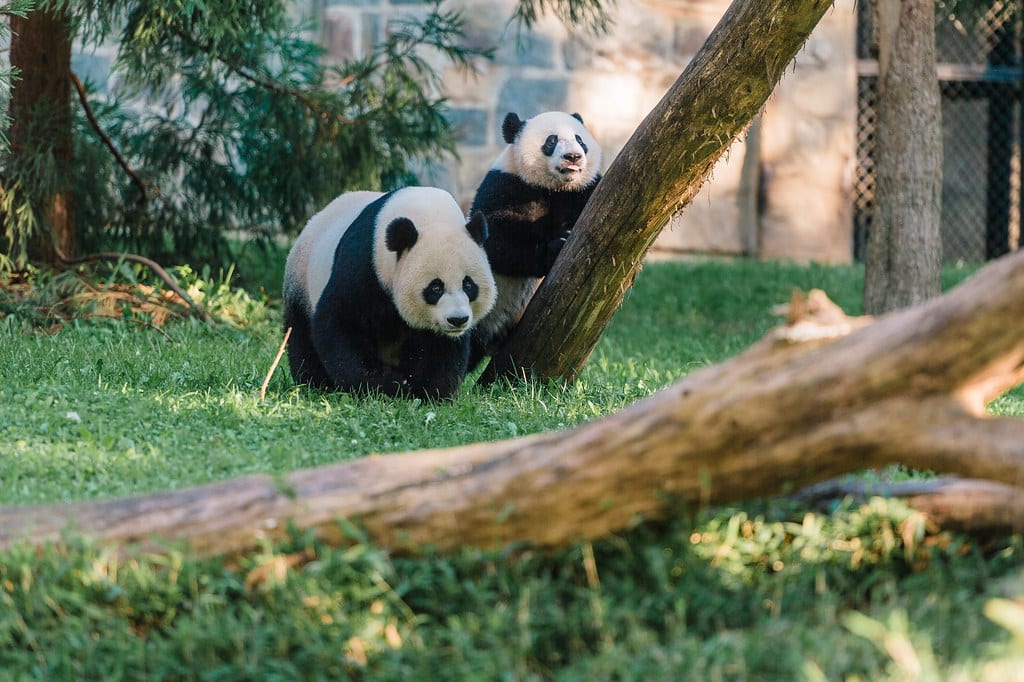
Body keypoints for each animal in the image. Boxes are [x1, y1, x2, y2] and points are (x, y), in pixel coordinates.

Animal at [283, 187, 497, 401]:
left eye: (468, 285)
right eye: (436, 288)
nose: (457, 320)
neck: (427, 213)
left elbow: (440, 348)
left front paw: (432, 393)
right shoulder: (365, 264)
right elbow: (341, 324)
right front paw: (386, 386)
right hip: (301, 281)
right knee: (301, 336)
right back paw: (316, 384)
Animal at [467, 111, 602, 374]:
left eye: (580, 139)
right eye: (551, 141)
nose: (573, 156)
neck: (554, 187)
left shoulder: (580, 191)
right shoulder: (507, 185)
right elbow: (496, 240)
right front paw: (556, 245)